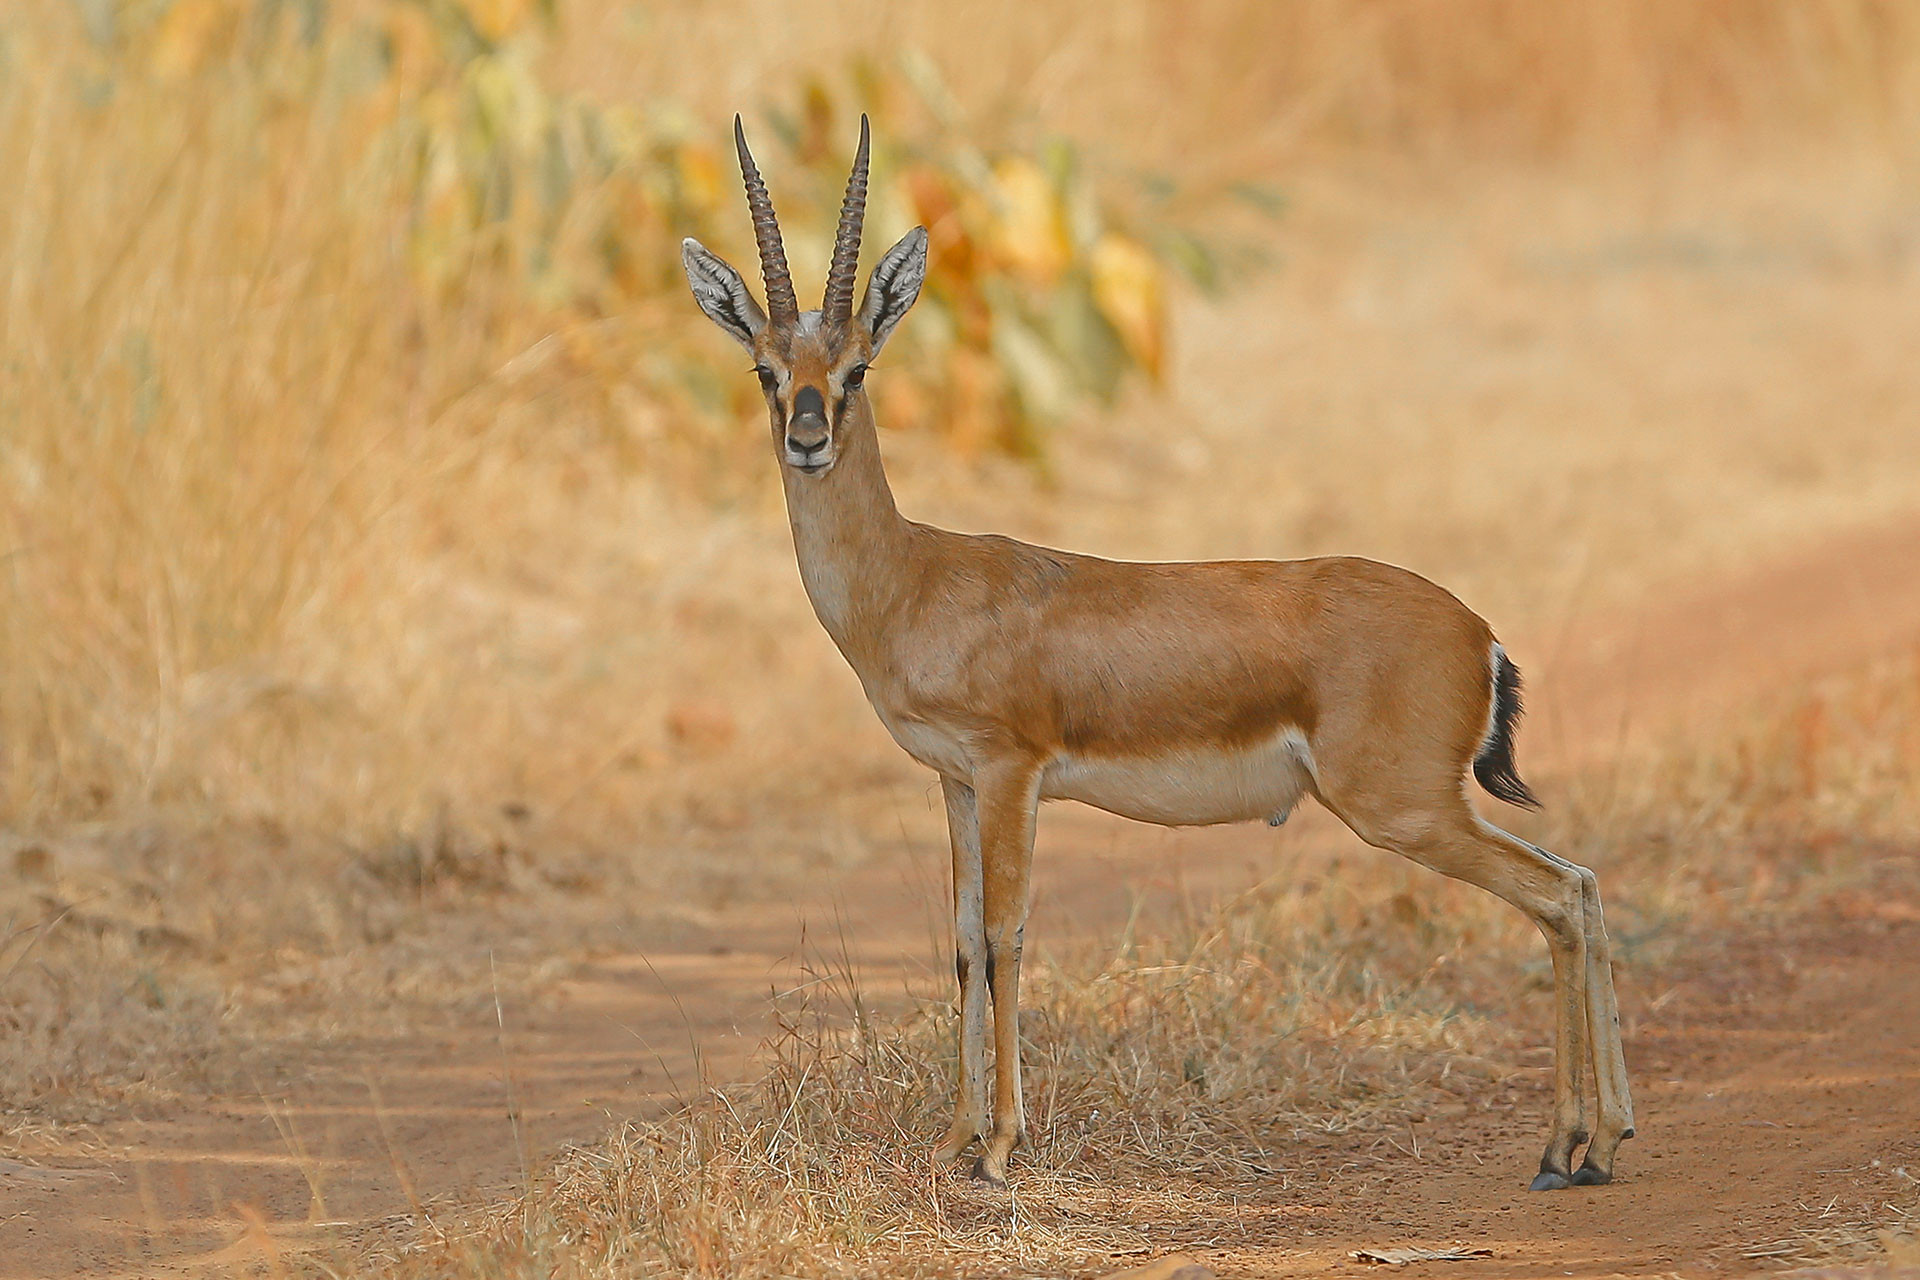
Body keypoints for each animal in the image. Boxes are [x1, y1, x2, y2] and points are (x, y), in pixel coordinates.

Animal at [680, 116, 1634, 1192]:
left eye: (856, 370)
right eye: (767, 369)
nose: (806, 438)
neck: (915, 578)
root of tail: (1480, 632)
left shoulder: (1012, 773)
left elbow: (1007, 936)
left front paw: (1000, 1148)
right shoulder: (954, 781)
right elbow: (963, 943)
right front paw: (953, 1138)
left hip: (1403, 809)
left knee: (1558, 896)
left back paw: (1571, 1146)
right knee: (1580, 886)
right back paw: (1593, 1144)